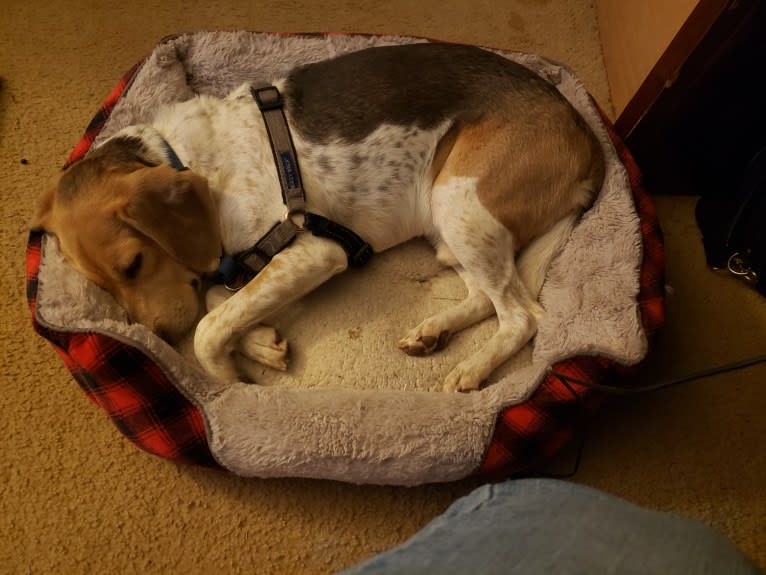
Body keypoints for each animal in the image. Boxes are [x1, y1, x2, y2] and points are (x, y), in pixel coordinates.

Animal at [33, 45, 608, 392]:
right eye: (103, 285)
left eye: (133, 264)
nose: (157, 339)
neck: (186, 159)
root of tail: (587, 138)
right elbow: (222, 301)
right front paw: (260, 343)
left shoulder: (315, 250)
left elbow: (208, 325)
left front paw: (230, 379)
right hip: (448, 226)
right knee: (486, 299)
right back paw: (433, 332)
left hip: (459, 203)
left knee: (524, 316)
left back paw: (469, 369)